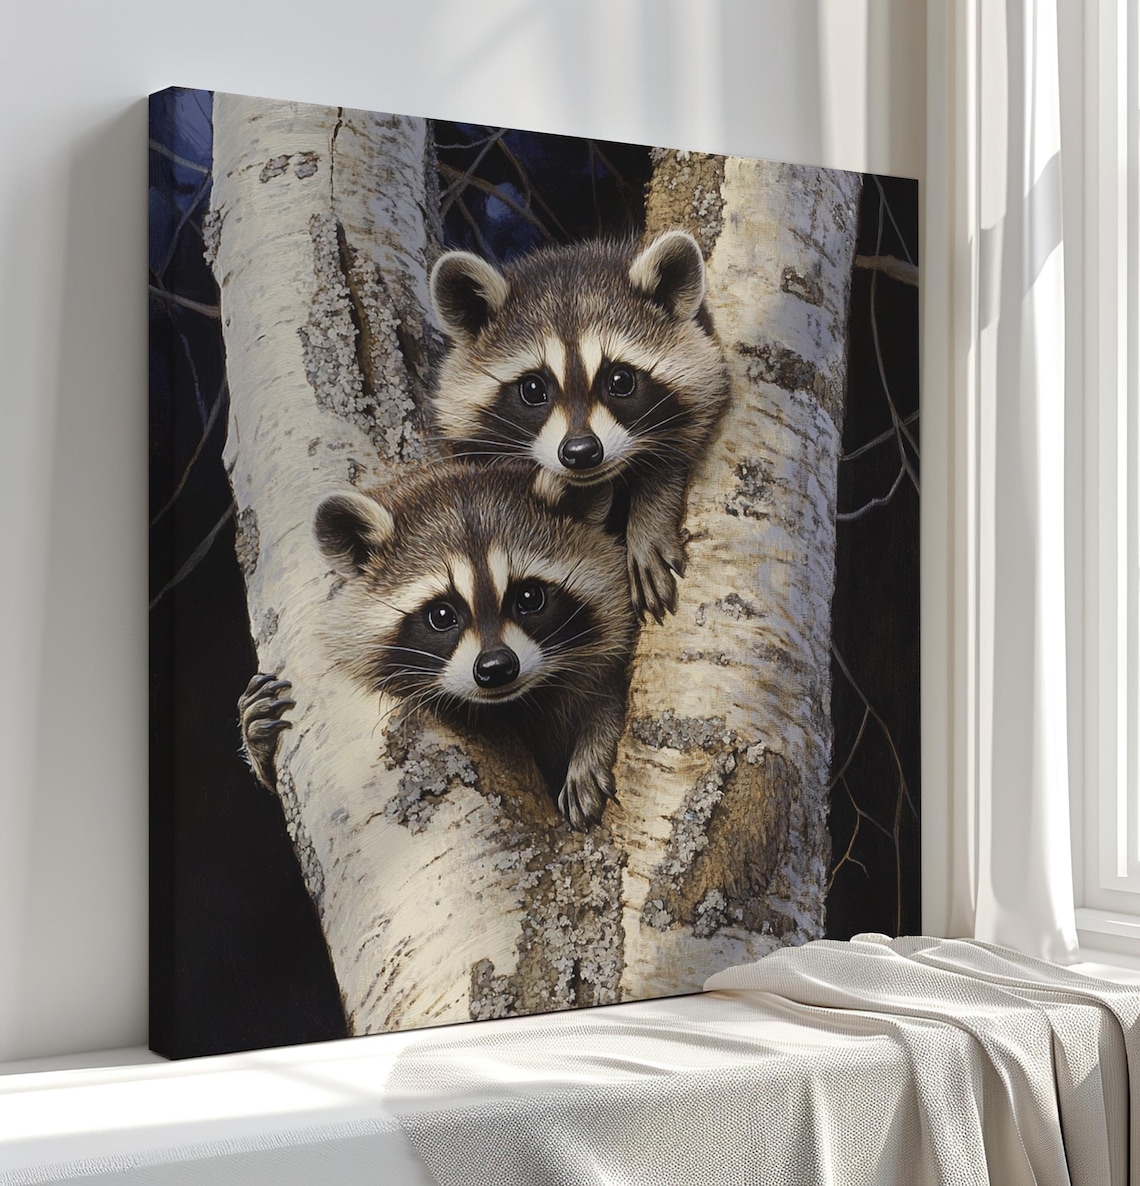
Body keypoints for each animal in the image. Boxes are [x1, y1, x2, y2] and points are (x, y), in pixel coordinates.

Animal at [241, 462, 635, 830]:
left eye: (529, 597)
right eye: (441, 615)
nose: (496, 667)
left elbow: (608, 694)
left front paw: (592, 746)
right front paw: (258, 749)